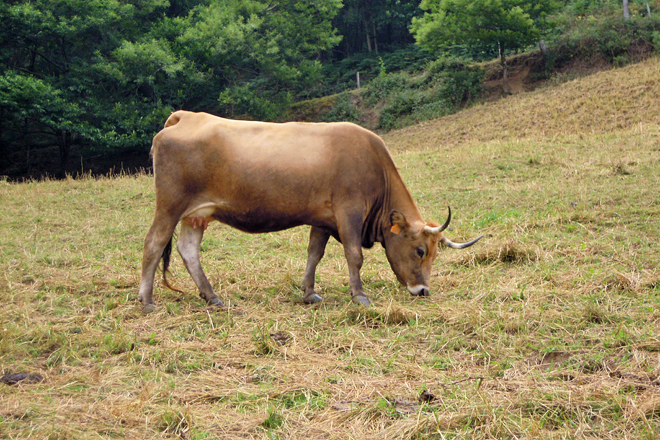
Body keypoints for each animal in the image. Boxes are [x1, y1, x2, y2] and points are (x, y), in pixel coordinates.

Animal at [138, 111, 482, 311]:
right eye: (420, 250)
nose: (423, 290)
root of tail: (186, 116)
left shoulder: (324, 220)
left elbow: (314, 254)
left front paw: (309, 293)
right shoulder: (348, 212)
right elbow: (354, 256)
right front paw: (360, 296)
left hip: (197, 214)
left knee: (188, 250)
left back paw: (212, 296)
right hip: (170, 205)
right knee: (154, 243)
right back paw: (147, 300)